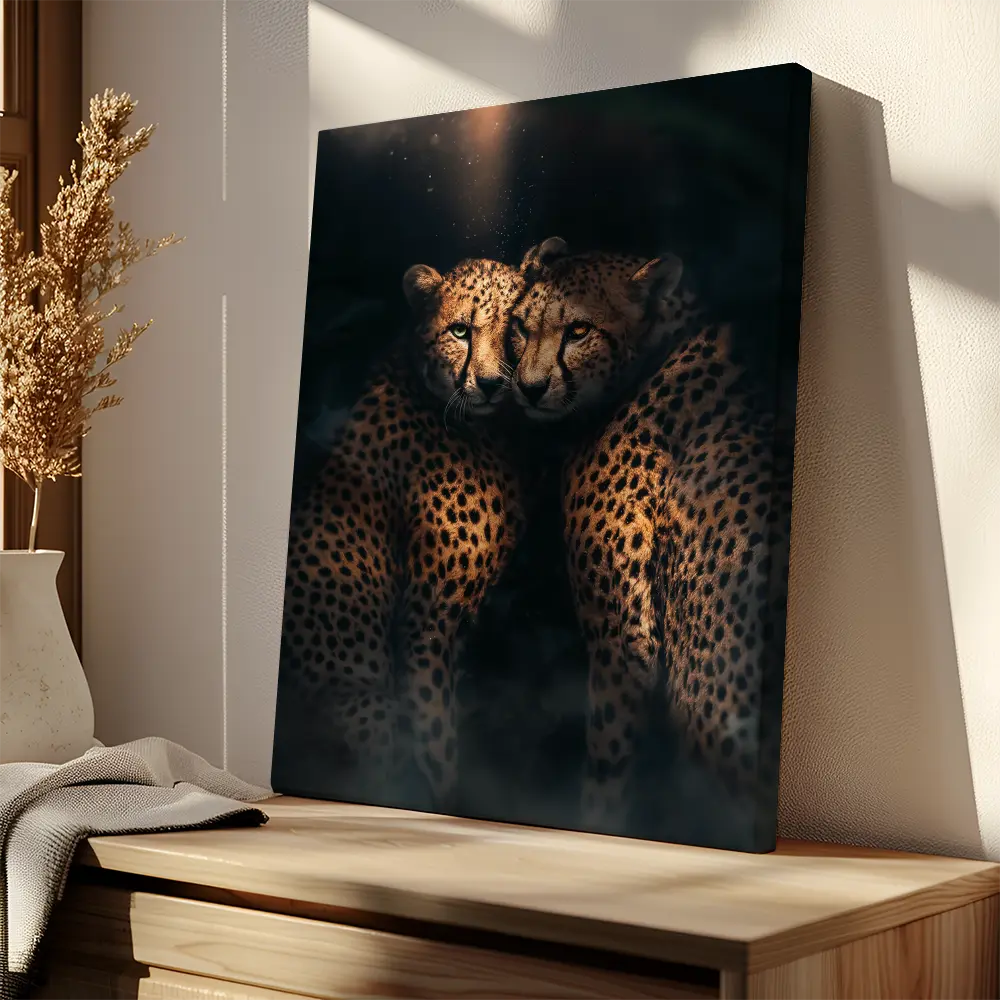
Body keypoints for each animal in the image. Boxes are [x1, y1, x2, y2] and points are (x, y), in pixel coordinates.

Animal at [276, 257, 526, 813]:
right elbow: (435, 739)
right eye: (461, 330)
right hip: (365, 703)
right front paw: (447, 800)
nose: (492, 383)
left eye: (516, 328)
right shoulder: (426, 622)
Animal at [512, 239, 792, 845]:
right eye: (520, 326)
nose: (530, 388)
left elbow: (607, 770)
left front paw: (596, 823)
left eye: (578, 330)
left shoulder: (624, 640)